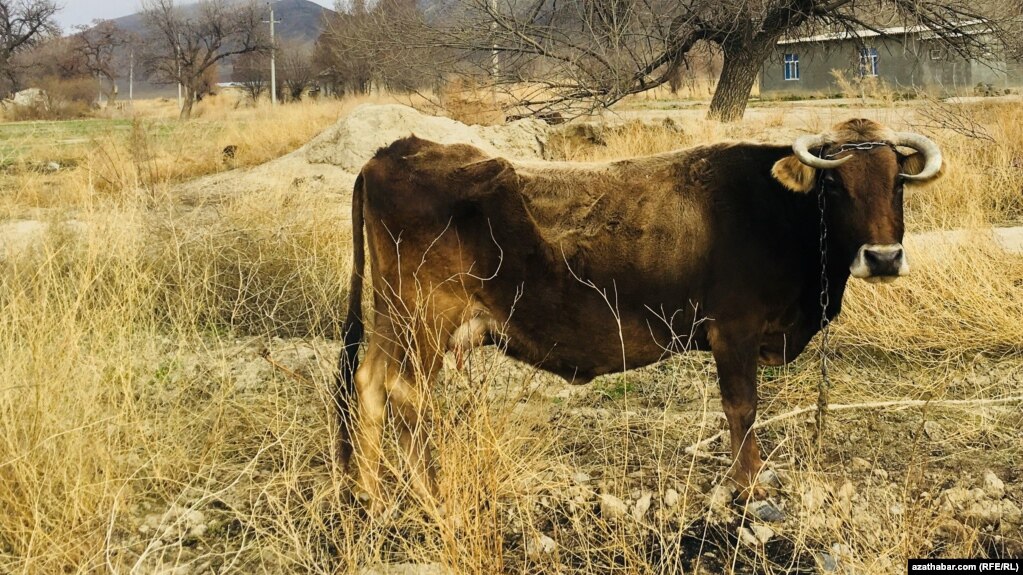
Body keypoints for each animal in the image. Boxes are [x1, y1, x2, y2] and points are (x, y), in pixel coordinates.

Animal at [337, 117, 941, 509]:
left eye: (897, 180)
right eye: (834, 183)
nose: (884, 258)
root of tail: (395, 151)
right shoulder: (733, 332)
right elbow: (742, 409)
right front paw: (749, 487)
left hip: (395, 317)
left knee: (368, 384)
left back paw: (369, 493)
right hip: (423, 319)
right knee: (405, 394)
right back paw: (430, 494)